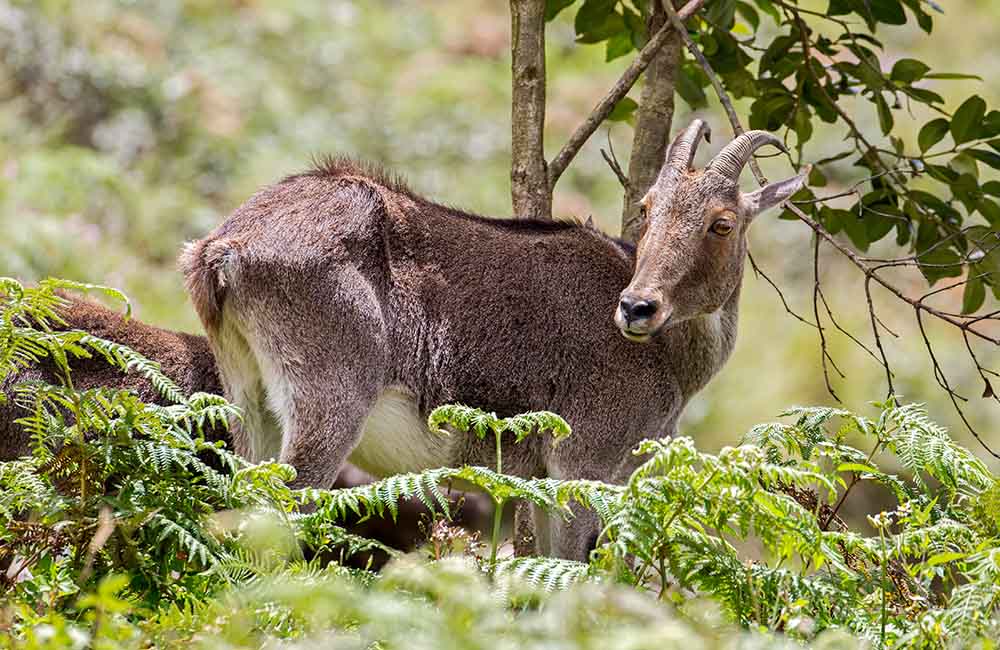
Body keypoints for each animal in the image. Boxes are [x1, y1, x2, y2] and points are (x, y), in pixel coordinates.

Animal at [180, 120, 804, 556]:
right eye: (648, 208)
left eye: (722, 223)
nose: (636, 307)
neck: (669, 360)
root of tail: (223, 250)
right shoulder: (583, 461)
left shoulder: (549, 480)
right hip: (328, 402)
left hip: (249, 396)